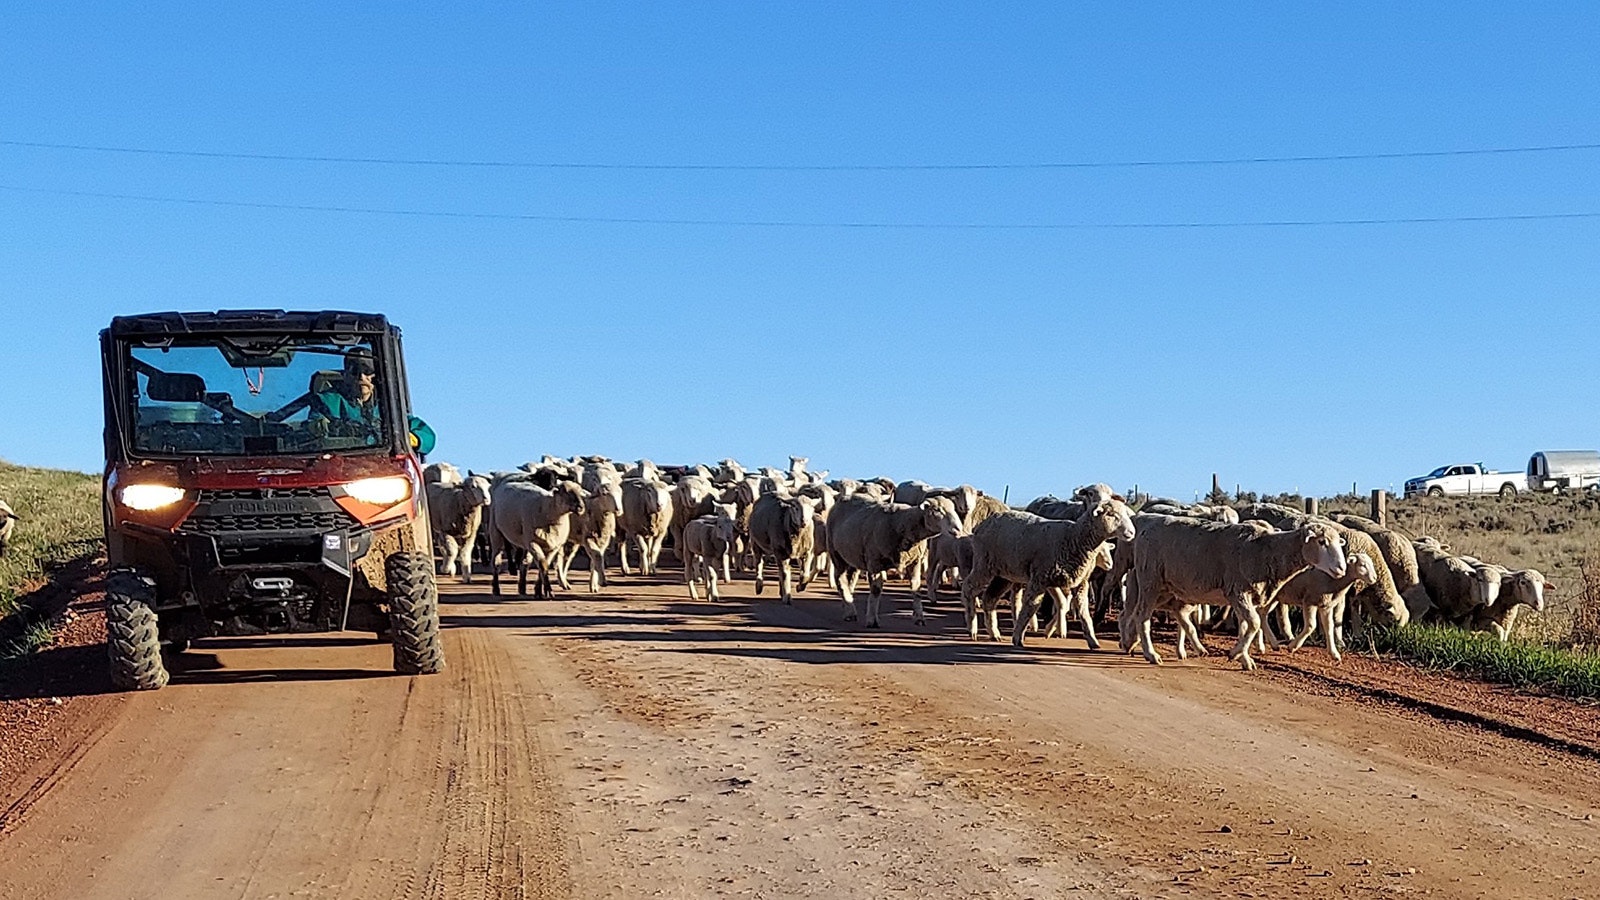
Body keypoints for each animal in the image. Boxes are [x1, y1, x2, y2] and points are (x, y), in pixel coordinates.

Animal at [826, 496, 966, 627]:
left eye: (954, 508)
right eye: (937, 510)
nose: (958, 529)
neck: (904, 523)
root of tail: (842, 499)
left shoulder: (915, 561)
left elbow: (916, 589)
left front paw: (919, 617)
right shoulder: (875, 562)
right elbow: (876, 591)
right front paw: (872, 620)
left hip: (853, 556)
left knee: (849, 579)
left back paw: (848, 604)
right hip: (836, 553)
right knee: (839, 579)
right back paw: (850, 611)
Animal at [961, 498, 1135, 648]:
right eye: (1111, 514)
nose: (1132, 533)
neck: (1074, 539)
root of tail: (983, 525)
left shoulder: (1079, 583)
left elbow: (1084, 612)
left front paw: (1092, 641)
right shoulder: (1040, 579)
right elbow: (1030, 607)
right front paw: (1017, 637)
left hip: (1003, 573)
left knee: (989, 598)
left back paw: (994, 633)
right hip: (984, 564)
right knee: (968, 588)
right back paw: (972, 629)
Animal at [1120, 516, 1348, 670]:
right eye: (1321, 542)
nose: (1341, 569)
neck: (1266, 551)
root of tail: (1145, 527)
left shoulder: (1249, 596)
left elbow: (1246, 627)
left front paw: (1244, 659)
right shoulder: (1238, 591)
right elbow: (1254, 624)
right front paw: (1236, 654)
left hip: (1168, 589)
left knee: (1150, 615)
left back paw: (1132, 643)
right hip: (1150, 581)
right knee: (1141, 616)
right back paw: (1150, 654)